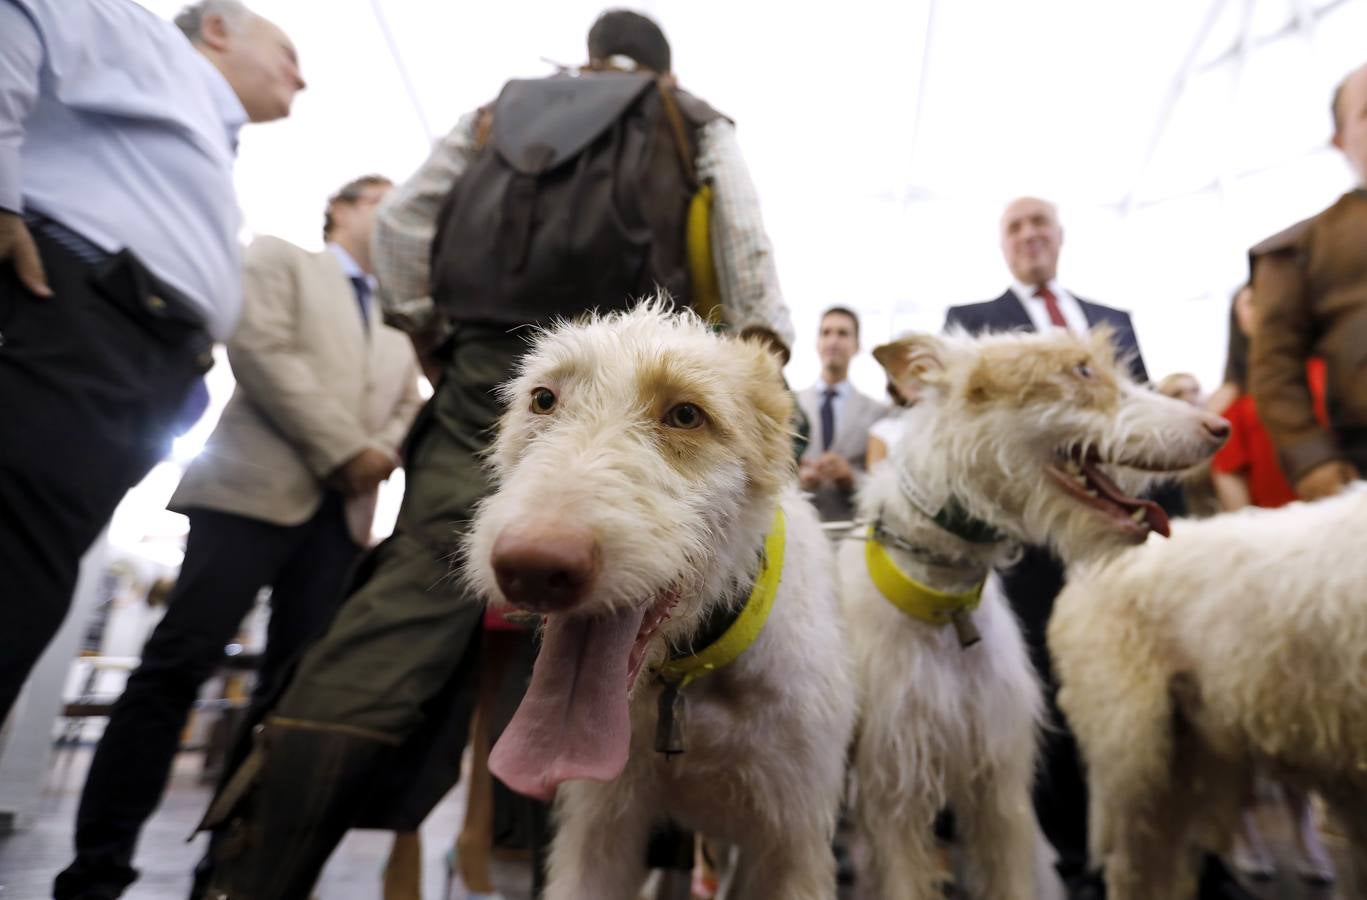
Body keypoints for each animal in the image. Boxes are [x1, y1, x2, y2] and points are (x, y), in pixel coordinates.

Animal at [467, 303, 853, 897]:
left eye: (686, 415)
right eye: (544, 399)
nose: (531, 568)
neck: (691, 675)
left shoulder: (791, 843)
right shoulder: (599, 828)